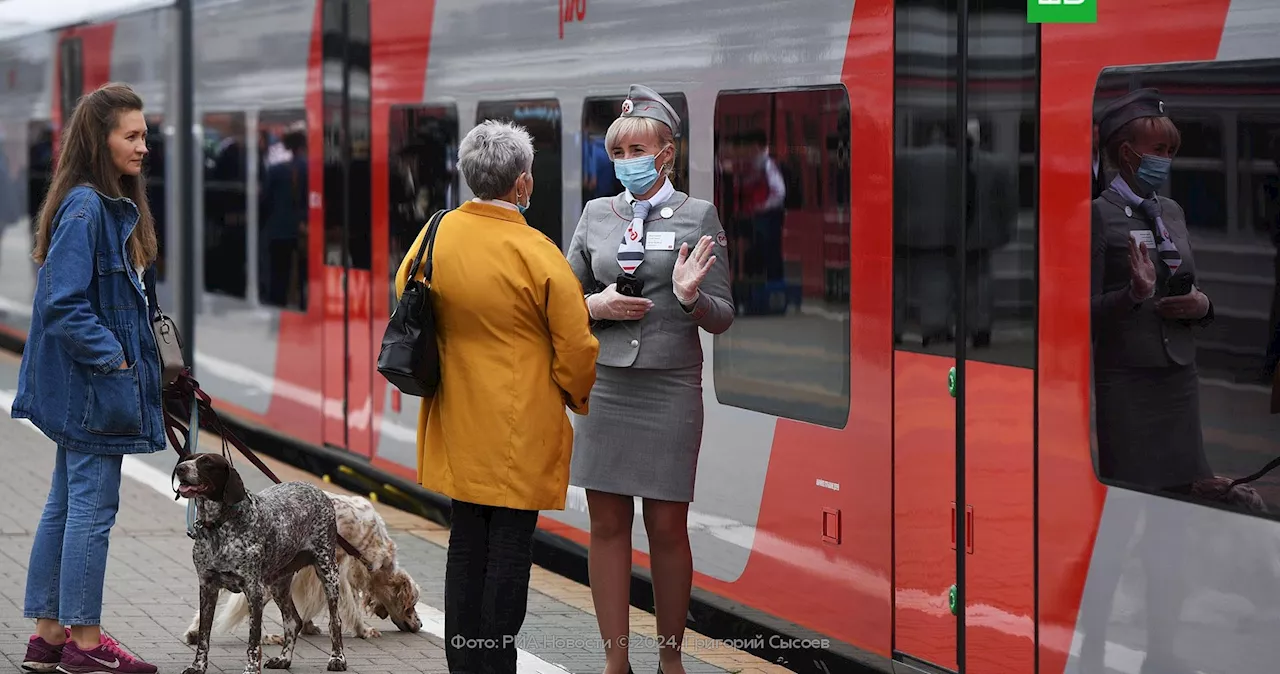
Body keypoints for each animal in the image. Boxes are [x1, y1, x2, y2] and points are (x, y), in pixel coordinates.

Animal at [175, 452, 348, 674]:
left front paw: (250, 669)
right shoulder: (207, 587)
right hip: (278, 584)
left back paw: (337, 658)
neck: (219, 526)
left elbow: (253, 641)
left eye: (207, 462)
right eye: (189, 457)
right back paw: (283, 659)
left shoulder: (253, 591)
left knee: (335, 621)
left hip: (328, 572)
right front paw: (198, 666)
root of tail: (316, 489)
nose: (180, 468)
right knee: (293, 621)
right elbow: (204, 636)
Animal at [183, 491, 422, 649]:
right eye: (412, 605)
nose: (419, 624)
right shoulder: (338, 568)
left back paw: (194, 631)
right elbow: (350, 605)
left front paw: (307, 625)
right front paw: (363, 630)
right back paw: (265, 638)